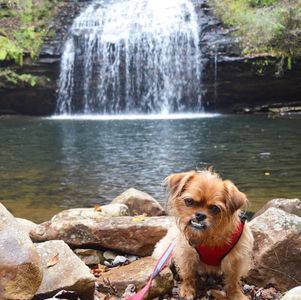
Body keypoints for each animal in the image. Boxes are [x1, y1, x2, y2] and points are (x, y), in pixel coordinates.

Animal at [152, 170, 253, 298]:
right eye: (189, 201)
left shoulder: (236, 261)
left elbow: (233, 281)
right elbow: (188, 274)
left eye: (215, 208)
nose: (200, 215)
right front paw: (187, 290)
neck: (209, 237)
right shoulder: (186, 254)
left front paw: (236, 295)